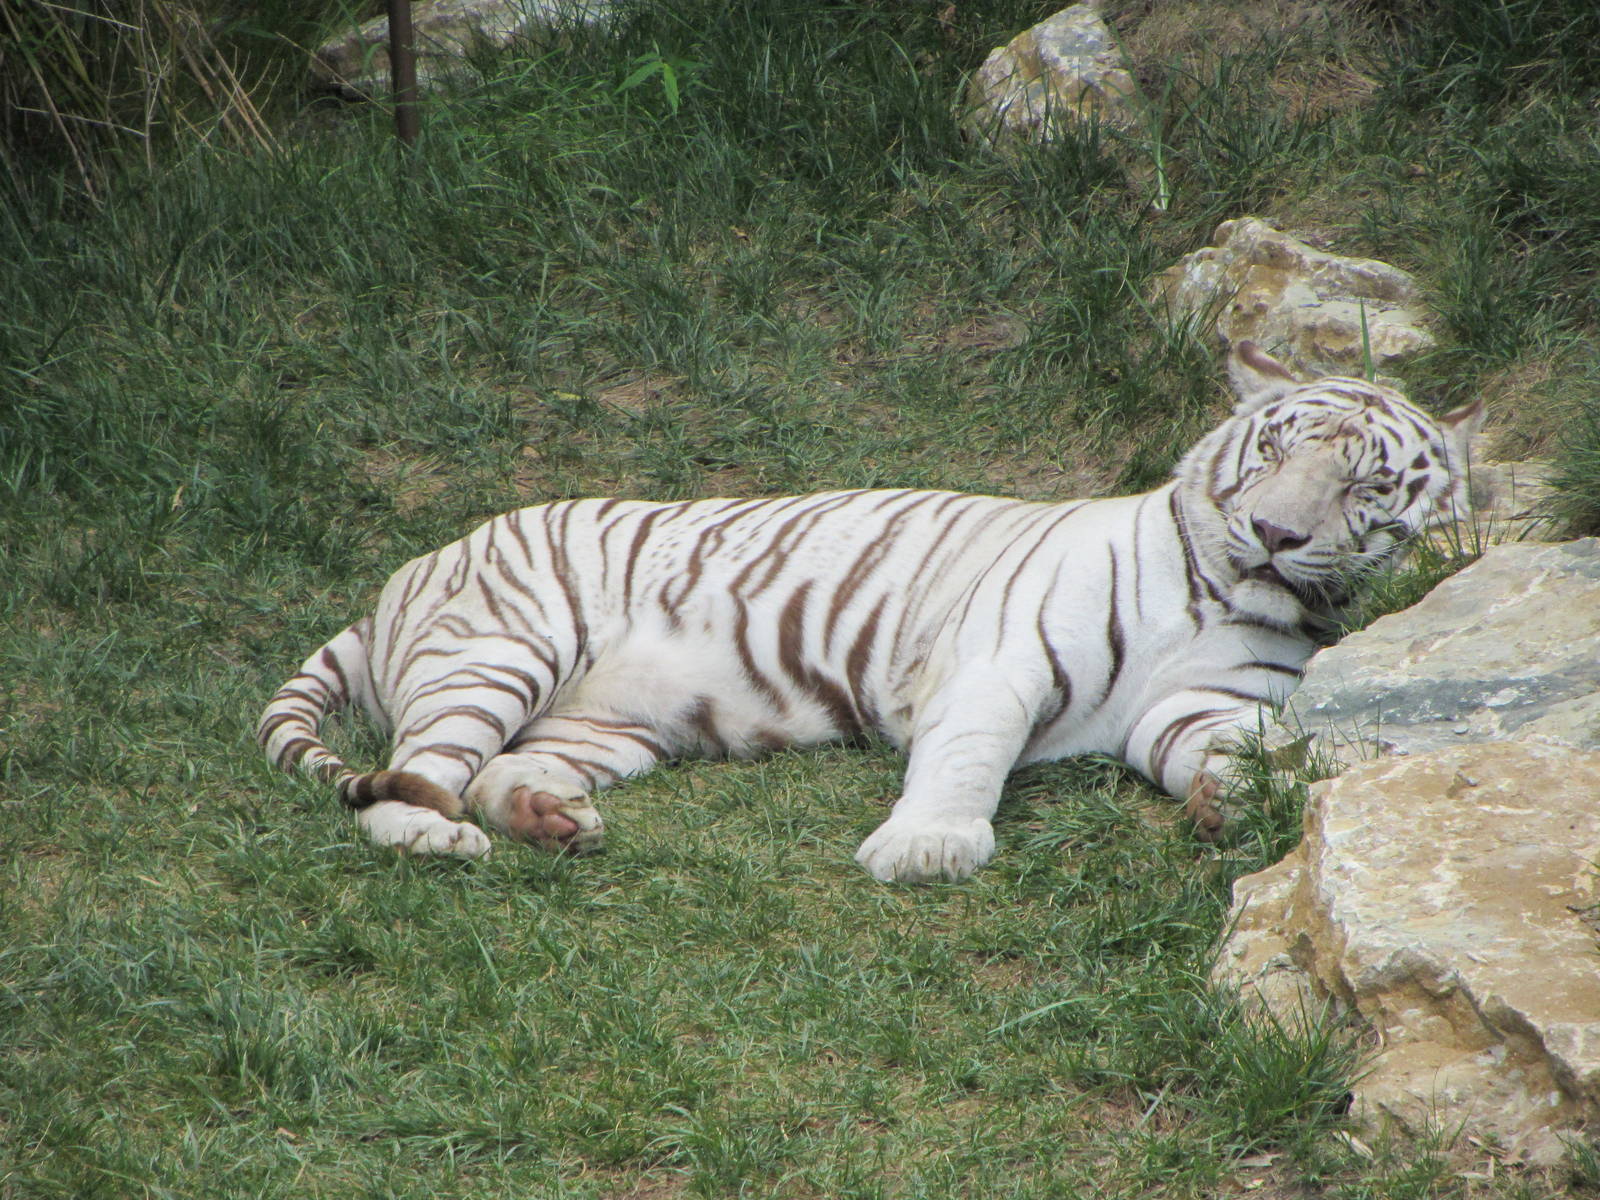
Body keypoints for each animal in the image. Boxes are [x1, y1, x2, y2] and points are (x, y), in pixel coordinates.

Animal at [258, 342, 1482, 882]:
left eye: (1366, 485)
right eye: (1272, 452)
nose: (1275, 532)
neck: (1224, 594)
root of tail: (406, 575)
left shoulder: (1195, 707)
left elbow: (1227, 752)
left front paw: (1233, 802)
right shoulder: (999, 657)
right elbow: (968, 754)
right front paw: (929, 846)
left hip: (603, 726)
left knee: (504, 769)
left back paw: (550, 820)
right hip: (502, 649)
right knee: (411, 776)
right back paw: (440, 835)